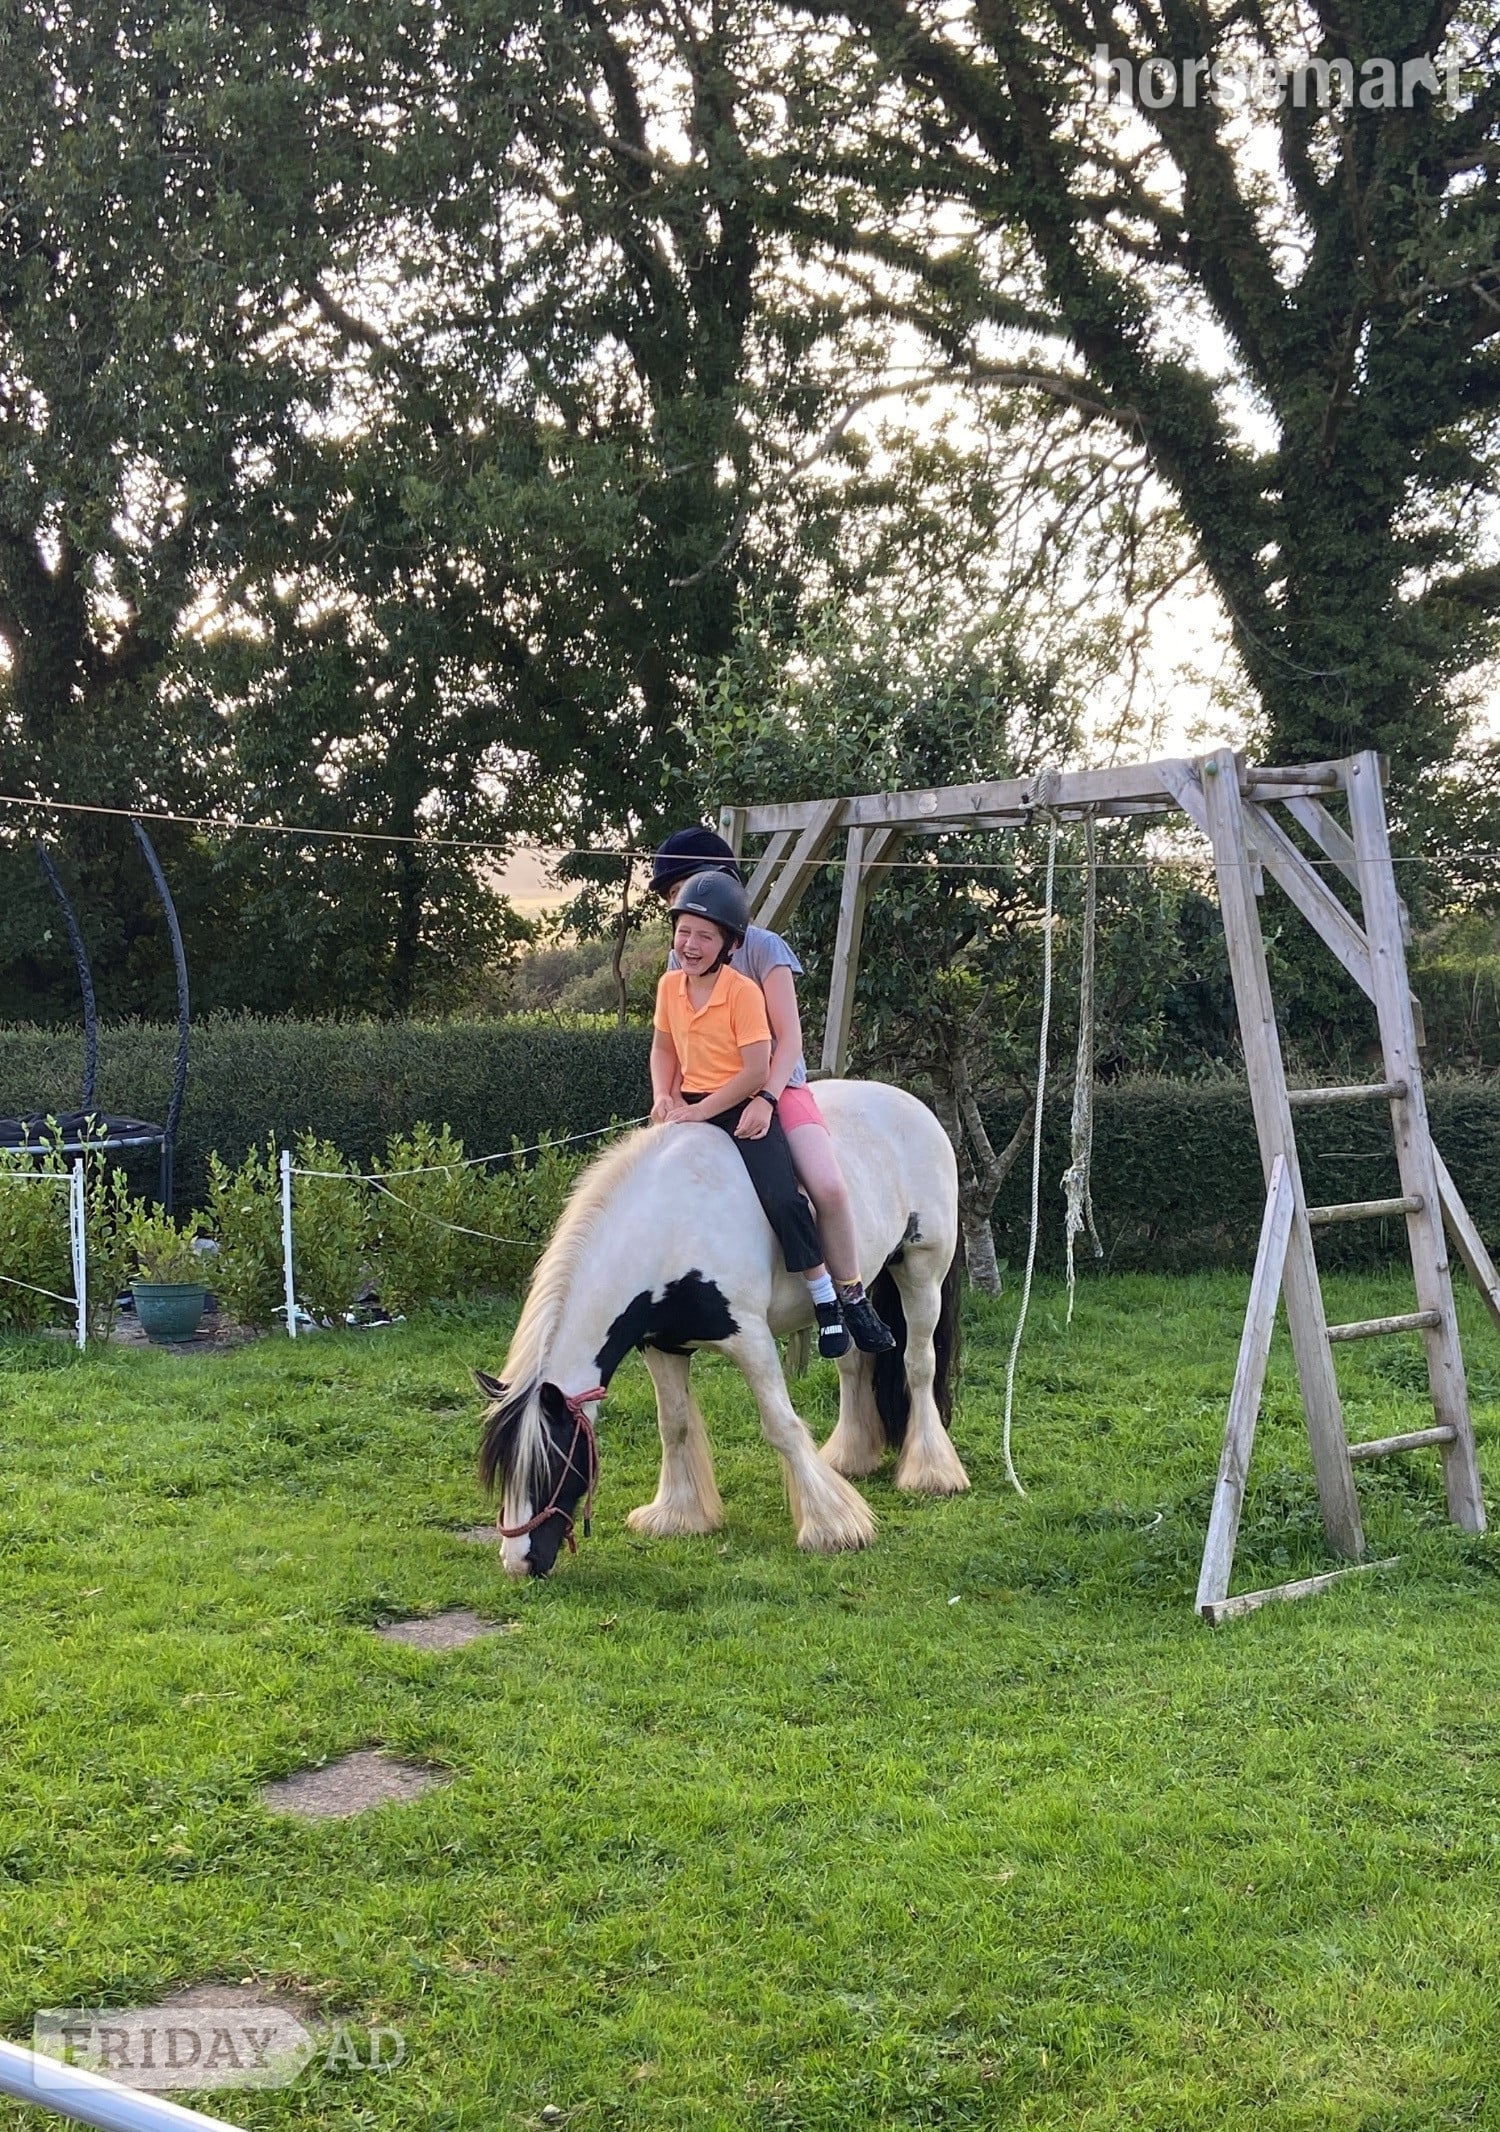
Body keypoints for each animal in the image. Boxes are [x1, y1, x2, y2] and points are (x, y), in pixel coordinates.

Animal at [476, 1079, 968, 1577]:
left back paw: (931, 1472)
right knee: (854, 1365)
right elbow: (673, 1425)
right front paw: (678, 1515)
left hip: (922, 1270)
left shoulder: (750, 1339)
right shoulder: (662, 1346)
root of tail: (911, 1103)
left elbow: (782, 1425)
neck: (668, 1225)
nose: (519, 1563)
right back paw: (850, 1456)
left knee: (918, 1364)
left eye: (550, 1465)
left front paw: (833, 1525)